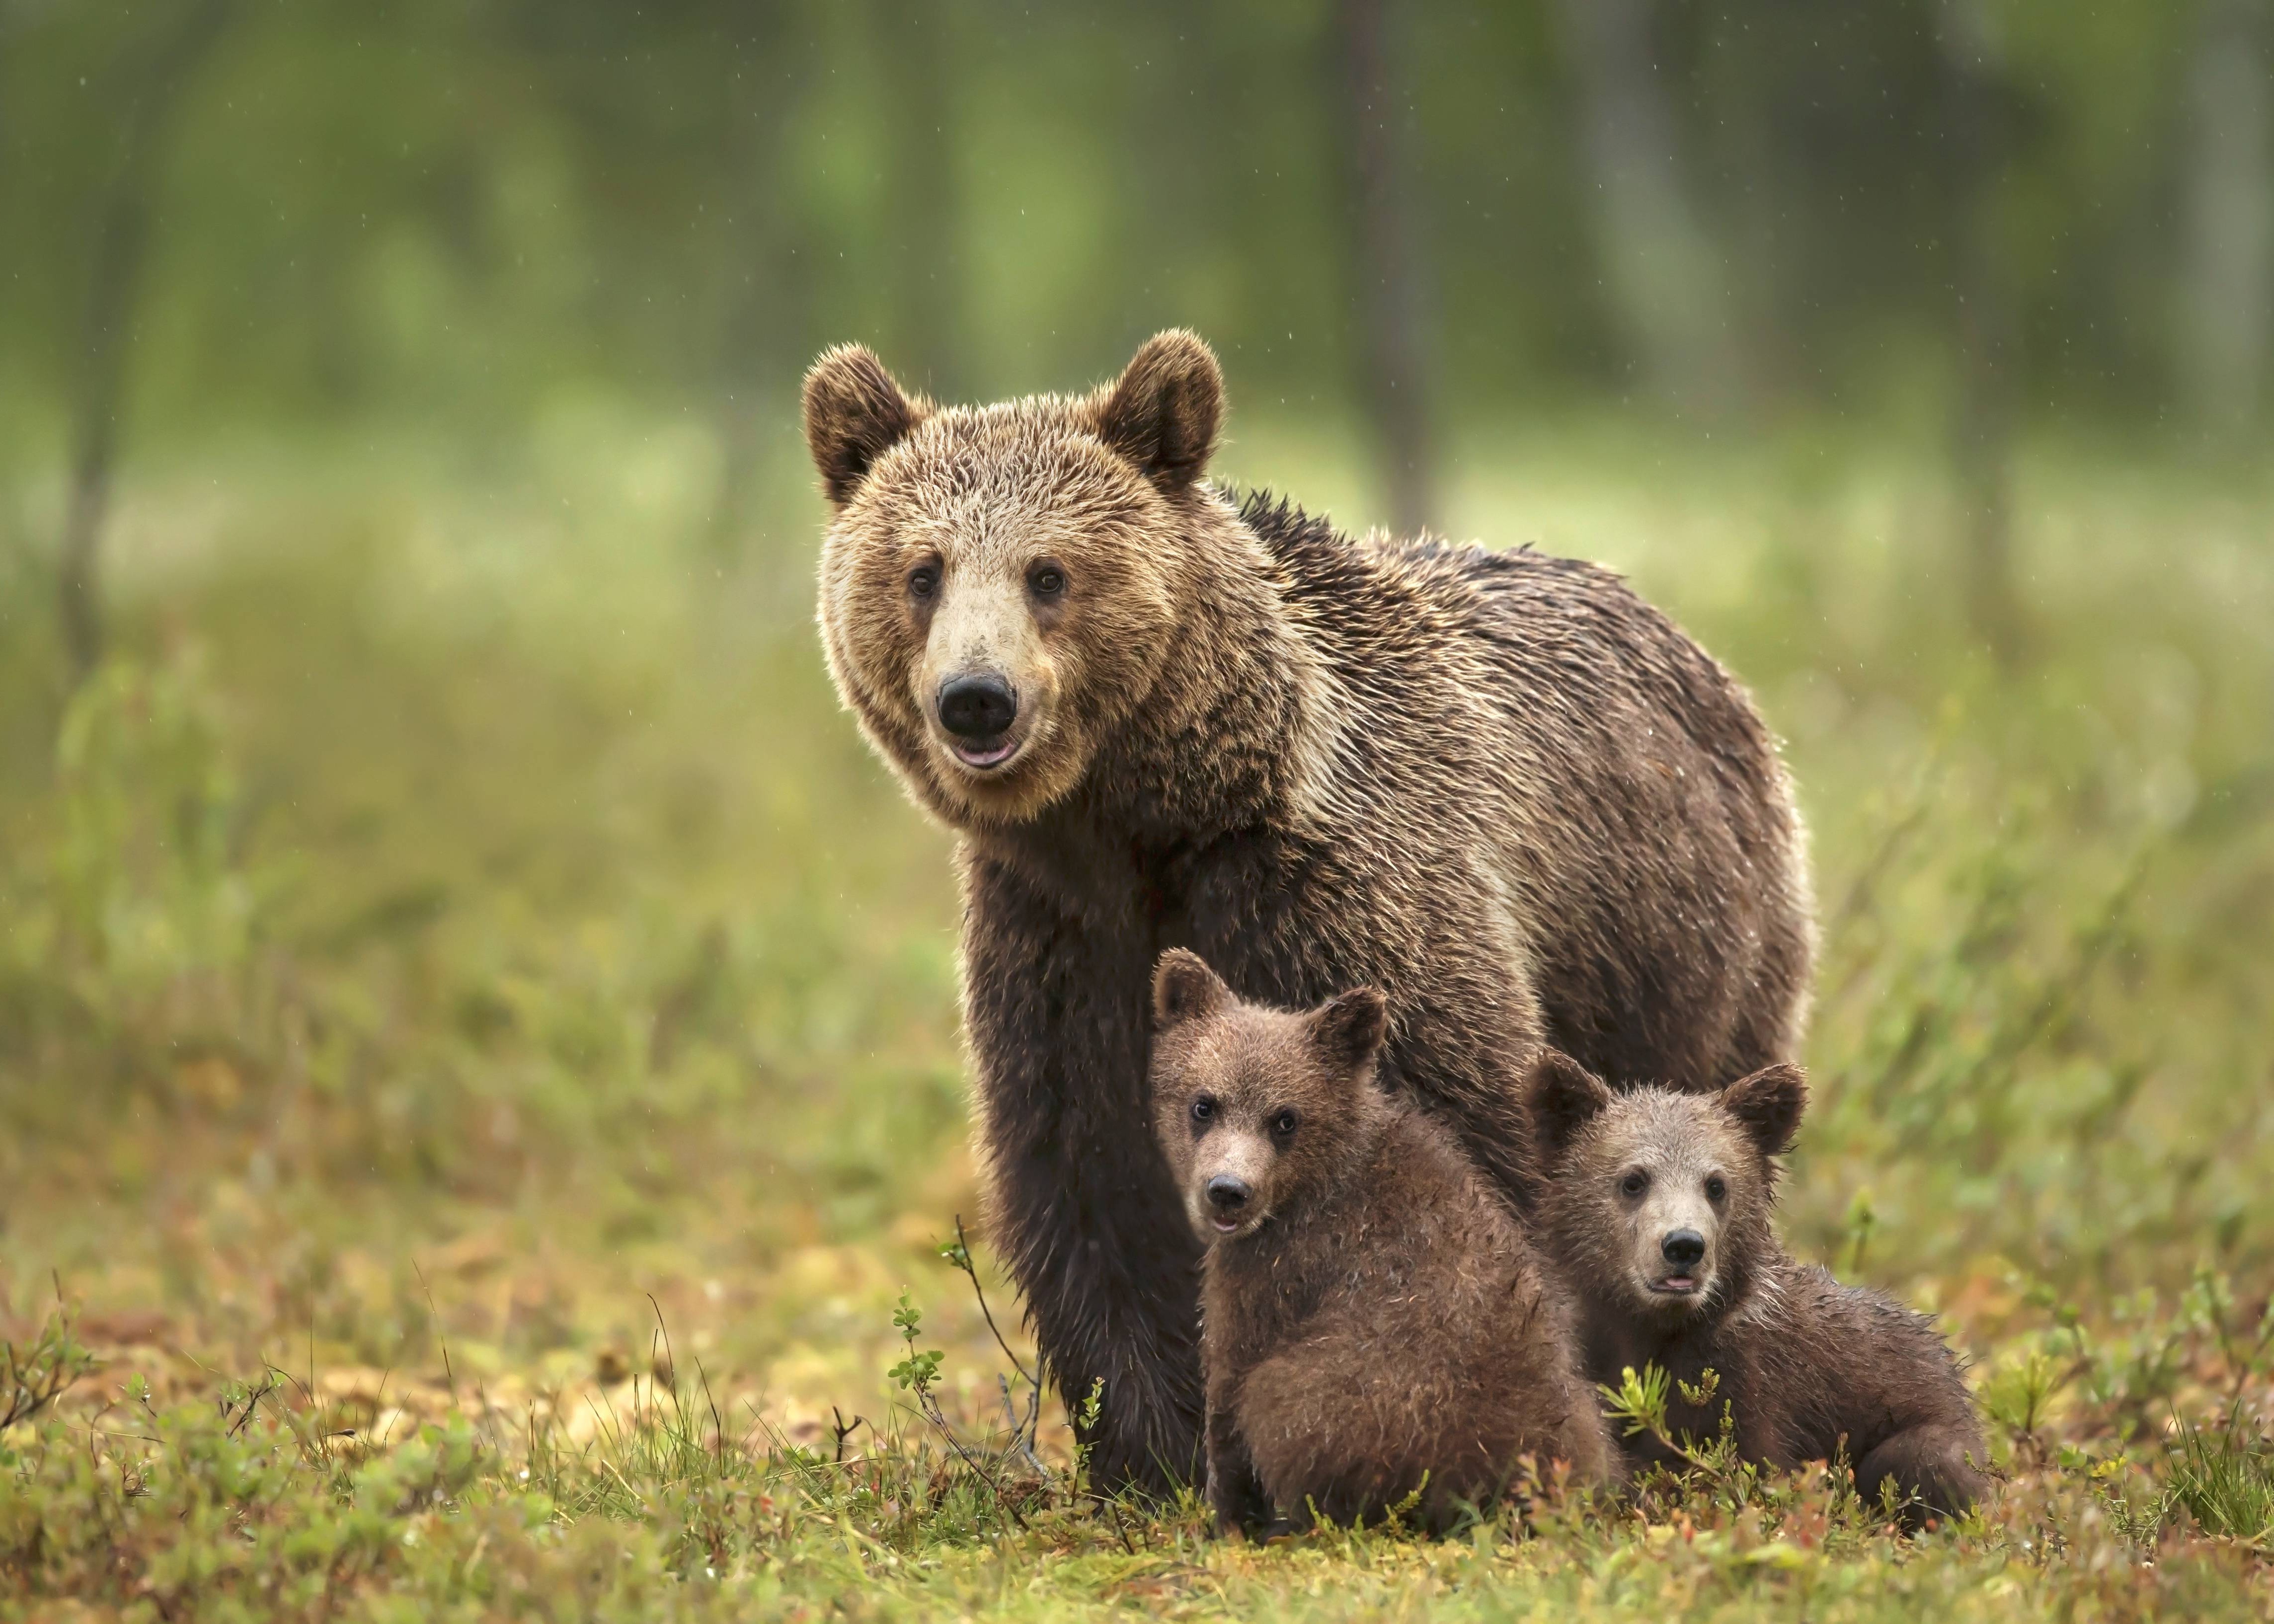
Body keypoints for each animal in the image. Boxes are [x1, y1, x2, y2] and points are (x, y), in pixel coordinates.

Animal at [1147, 949, 1613, 1535]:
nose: (1228, 1191)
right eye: (1203, 1103)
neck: (1310, 1184)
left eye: (1285, 1118)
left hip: (1352, 1394)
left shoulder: (1274, 1275)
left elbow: (1228, 1390)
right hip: (1571, 1408)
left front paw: (1223, 1517)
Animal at [1525, 1050, 1989, 1525]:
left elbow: (1759, 1470)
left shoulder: (1756, 1387)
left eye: (1716, 1184)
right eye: (1633, 1180)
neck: (1655, 1330)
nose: (1684, 1245)